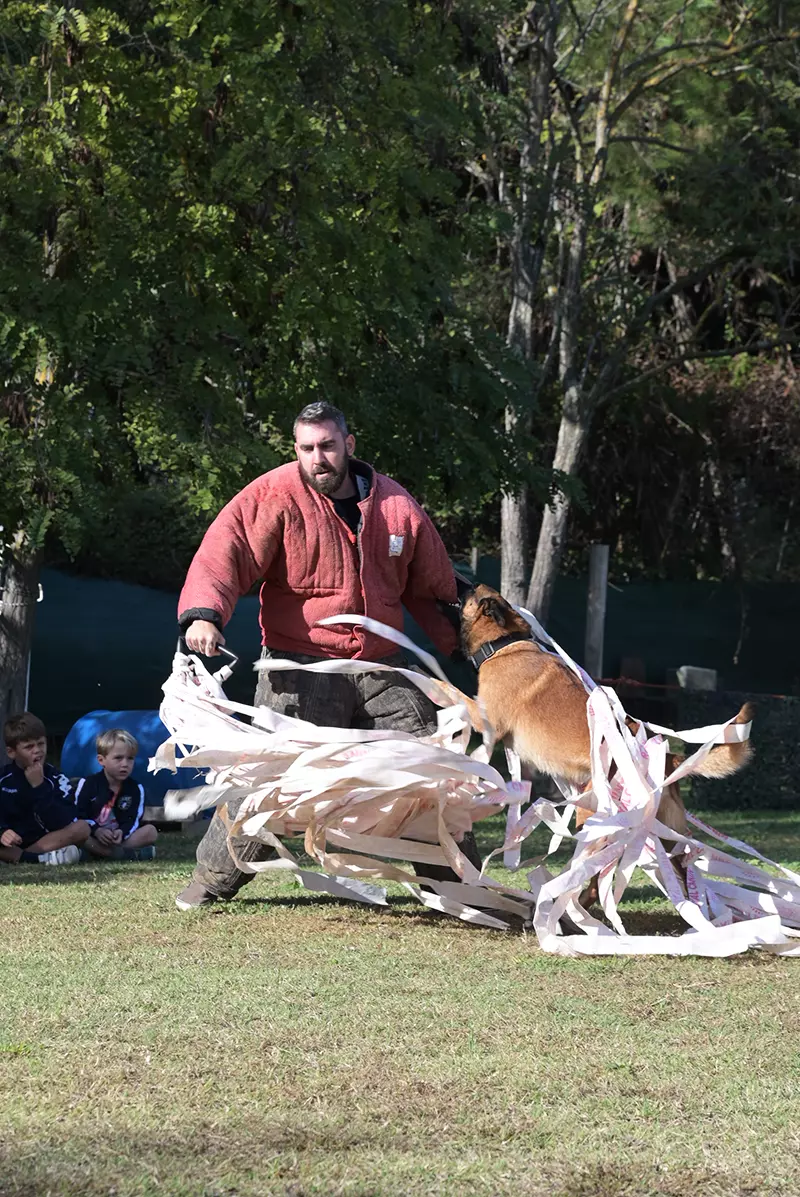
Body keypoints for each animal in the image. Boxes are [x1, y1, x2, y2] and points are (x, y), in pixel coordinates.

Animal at [459, 584, 752, 837]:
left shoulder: (487, 723)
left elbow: (456, 694)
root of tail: (669, 759)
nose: (460, 583)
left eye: (471, 590)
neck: (503, 644)